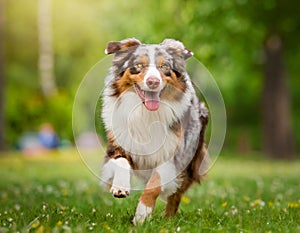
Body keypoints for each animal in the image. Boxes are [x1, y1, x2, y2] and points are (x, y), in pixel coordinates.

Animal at [101, 37, 209, 224]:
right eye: (139, 65)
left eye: (164, 66)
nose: (153, 82)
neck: (146, 114)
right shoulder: (116, 148)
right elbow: (121, 162)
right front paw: (120, 187)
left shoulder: (172, 156)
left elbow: (154, 184)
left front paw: (142, 214)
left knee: (176, 195)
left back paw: (169, 220)